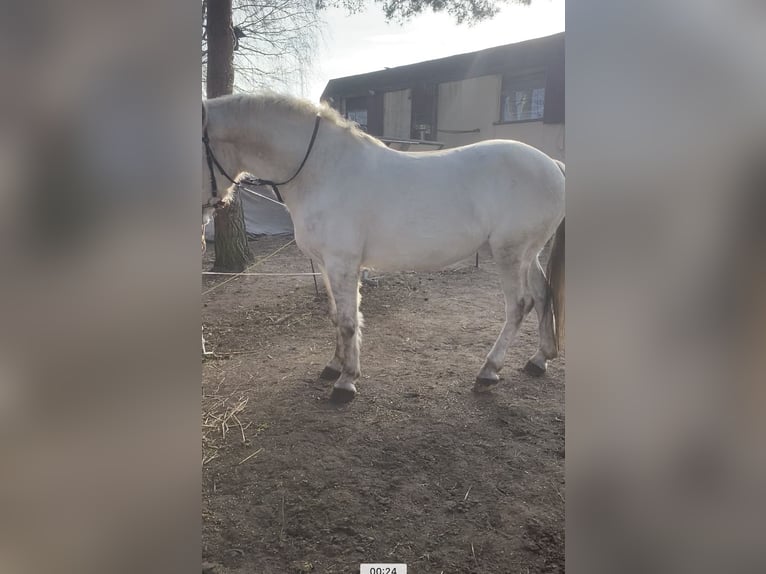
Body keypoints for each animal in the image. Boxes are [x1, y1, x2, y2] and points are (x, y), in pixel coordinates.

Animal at [202, 93, 564, 404]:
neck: (322, 168)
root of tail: (552, 165)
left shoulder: (343, 263)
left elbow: (349, 321)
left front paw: (346, 382)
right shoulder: (326, 264)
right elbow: (337, 316)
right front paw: (334, 366)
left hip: (510, 253)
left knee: (519, 305)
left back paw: (488, 372)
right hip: (528, 254)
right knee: (542, 294)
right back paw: (539, 359)